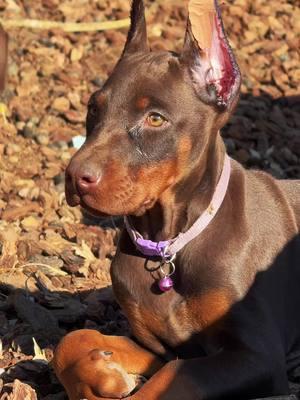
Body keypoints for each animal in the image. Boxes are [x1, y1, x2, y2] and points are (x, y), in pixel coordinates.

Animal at [59, 0, 298, 398]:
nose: (75, 177)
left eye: (155, 118)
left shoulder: (256, 354)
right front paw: (101, 377)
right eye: (94, 107)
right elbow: (73, 338)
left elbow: (168, 380)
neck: (169, 244)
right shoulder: (161, 347)